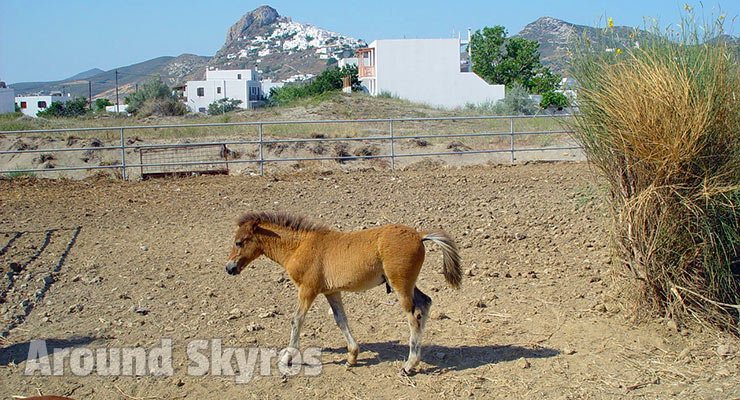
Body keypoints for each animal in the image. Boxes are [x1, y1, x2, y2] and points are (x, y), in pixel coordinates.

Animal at [225, 212, 462, 375]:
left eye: (239, 242)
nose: (229, 268)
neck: (299, 247)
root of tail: (419, 235)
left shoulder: (308, 289)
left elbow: (296, 320)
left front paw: (287, 357)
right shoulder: (332, 291)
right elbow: (341, 320)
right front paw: (352, 356)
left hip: (400, 285)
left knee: (414, 316)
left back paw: (409, 365)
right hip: (408, 284)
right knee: (425, 302)